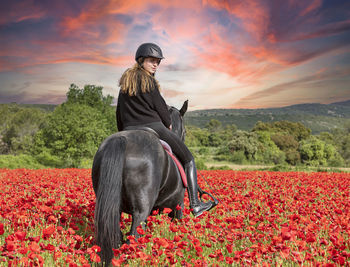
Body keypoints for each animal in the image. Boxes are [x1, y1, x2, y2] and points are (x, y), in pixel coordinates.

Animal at [90, 101, 189, 266]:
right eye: (185, 131)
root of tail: (122, 139)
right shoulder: (177, 206)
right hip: (141, 211)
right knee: (133, 240)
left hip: (113, 209)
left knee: (117, 239)